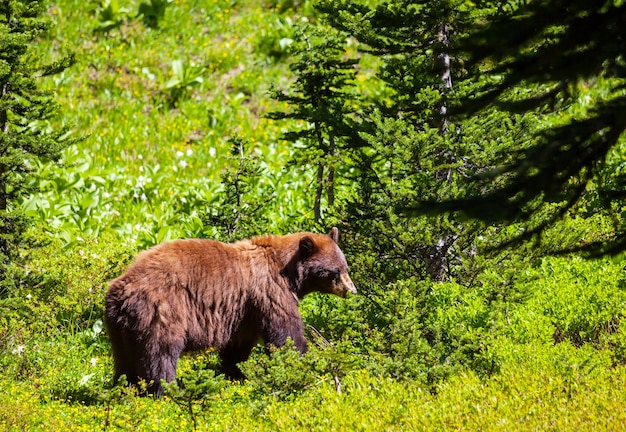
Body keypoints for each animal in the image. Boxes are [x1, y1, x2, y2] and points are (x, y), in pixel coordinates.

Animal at [105, 228, 354, 396]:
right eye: (334, 271)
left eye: (345, 267)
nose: (352, 290)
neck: (289, 273)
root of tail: (122, 290)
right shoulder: (271, 293)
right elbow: (286, 336)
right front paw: (304, 365)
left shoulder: (243, 314)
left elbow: (236, 348)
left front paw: (235, 374)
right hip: (161, 313)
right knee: (160, 356)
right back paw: (166, 390)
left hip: (120, 328)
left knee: (125, 361)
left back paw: (126, 388)